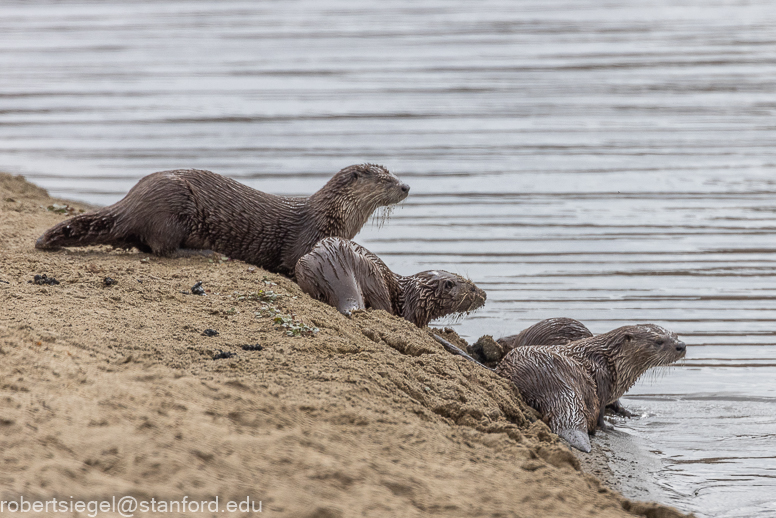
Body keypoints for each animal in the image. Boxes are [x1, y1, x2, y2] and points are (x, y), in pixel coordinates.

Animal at [34, 165, 412, 278]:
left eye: (395, 173)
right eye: (385, 180)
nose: (407, 186)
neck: (333, 216)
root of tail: (132, 200)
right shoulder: (306, 239)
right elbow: (292, 263)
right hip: (172, 206)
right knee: (161, 247)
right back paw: (204, 253)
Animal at [296, 238, 484, 328]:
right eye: (472, 288)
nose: (484, 294)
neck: (413, 296)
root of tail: (337, 262)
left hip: (305, 266)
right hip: (375, 279)